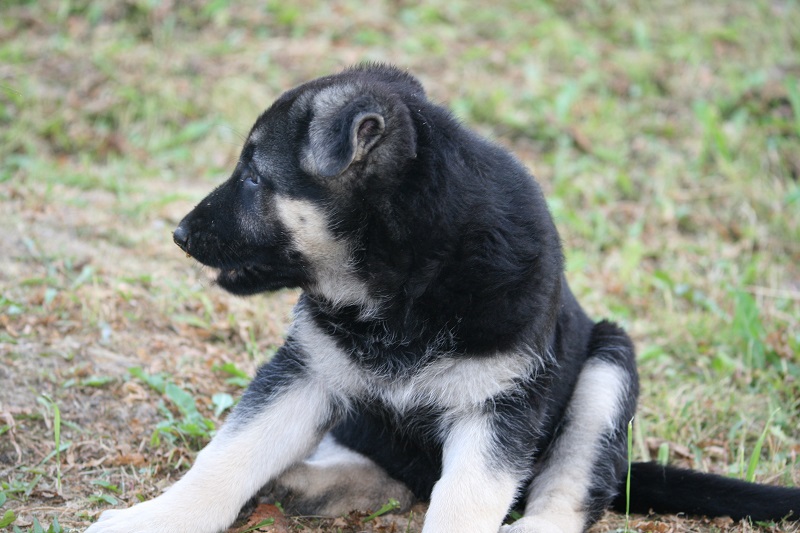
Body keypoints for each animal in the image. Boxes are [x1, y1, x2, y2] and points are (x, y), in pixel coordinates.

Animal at [87, 65, 800, 532]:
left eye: (256, 176)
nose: (179, 234)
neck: (401, 287)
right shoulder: (305, 371)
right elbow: (226, 457)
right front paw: (157, 519)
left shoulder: (500, 408)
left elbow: (464, 503)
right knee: (398, 472)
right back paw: (309, 483)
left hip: (607, 367)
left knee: (567, 489)